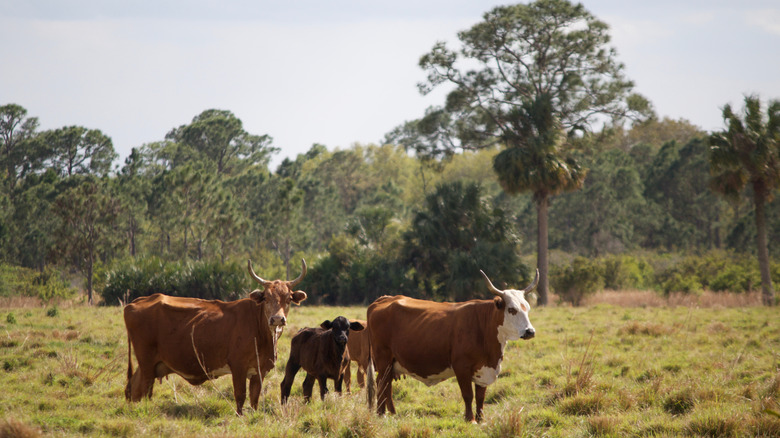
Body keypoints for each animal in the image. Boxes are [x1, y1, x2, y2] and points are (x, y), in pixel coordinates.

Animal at [123, 259, 308, 415]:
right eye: (267, 298)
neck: (261, 334)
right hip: (147, 363)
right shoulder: (238, 367)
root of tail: (136, 302)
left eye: (288, 299)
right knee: (143, 389)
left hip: (151, 365)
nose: (277, 319)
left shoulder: (260, 370)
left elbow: (254, 399)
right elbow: (240, 395)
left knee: (133, 389)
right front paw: (240, 416)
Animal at [366, 269, 539, 423]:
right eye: (511, 309)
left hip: (391, 364)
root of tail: (384, 299)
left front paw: (481, 419)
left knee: (387, 386)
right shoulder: (461, 367)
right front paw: (470, 419)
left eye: (527, 308)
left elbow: (481, 396)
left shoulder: (484, 369)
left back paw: (391, 413)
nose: (530, 331)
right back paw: (381, 415)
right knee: (381, 385)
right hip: (383, 360)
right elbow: (468, 395)